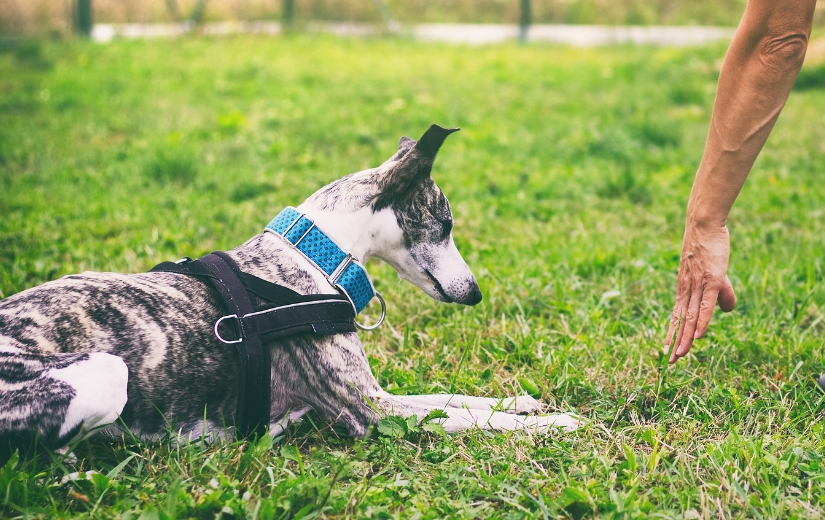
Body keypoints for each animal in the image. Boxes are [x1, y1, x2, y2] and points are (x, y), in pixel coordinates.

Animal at [0, 125, 580, 460]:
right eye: (447, 224)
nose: (476, 294)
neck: (312, 257)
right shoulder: (370, 412)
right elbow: (471, 419)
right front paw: (555, 424)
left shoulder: (379, 395)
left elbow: (453, 398)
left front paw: (523, 402)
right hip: (105, 371)